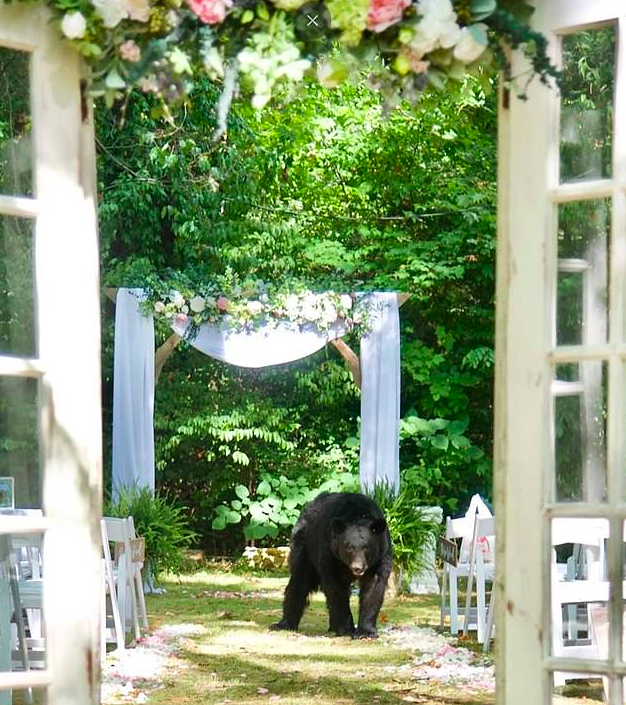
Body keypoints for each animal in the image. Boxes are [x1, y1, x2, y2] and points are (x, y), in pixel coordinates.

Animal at [269, 491, 393, 638]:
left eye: (366, 547)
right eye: (349, 547)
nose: (357, 567)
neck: (359, 514)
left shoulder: (380, 557)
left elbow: (373, 588)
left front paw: (366, 632)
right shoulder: (330, 553)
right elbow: (336, 588)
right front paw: (346, 628)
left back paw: (333, 626)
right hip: (305, 546)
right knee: (299, 581)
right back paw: (284, 624)